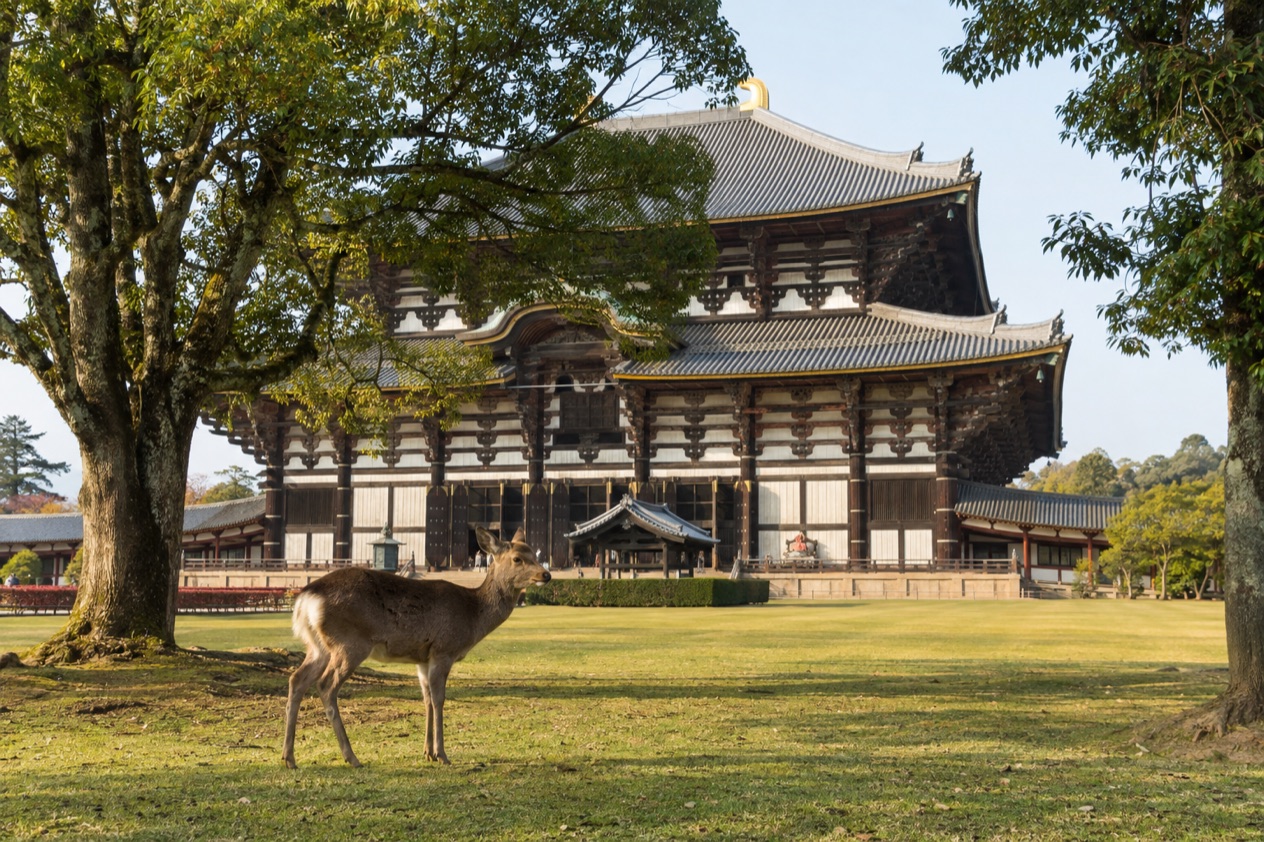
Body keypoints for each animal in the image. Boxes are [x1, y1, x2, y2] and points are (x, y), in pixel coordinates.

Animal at [282, 526, 550, 768]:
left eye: (534, 553)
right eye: (517, 558)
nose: (546, 575)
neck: (473, 615)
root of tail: (306, 598)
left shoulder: (423, 659)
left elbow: (427, 699)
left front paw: (427, 752)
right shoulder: (444, 649)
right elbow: (439, 699)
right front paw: (442, 755)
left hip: (317, 646)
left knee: (297, 679)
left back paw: (289, 757)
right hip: (350, 643)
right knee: (326, 685)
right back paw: (352, 757)